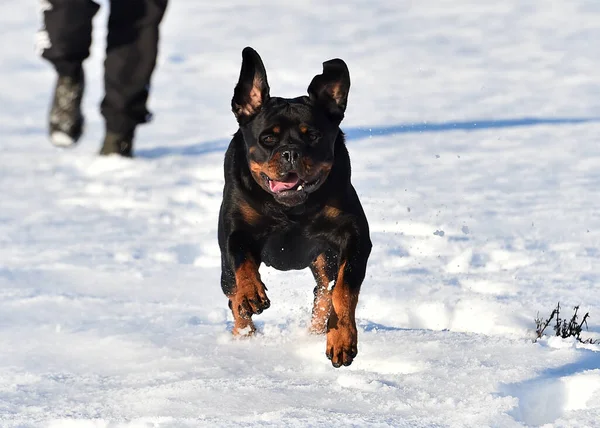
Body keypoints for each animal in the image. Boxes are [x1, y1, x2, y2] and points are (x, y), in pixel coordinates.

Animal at [218, 47, 372, 368]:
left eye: (313, 135)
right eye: (267, 138)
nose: (290, 152)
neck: (290, 211)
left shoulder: (354, 236)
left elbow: (343, 289)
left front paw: (342, 339)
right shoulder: (237, 229)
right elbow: (242, 262)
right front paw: (251, 293)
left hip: (324, 258)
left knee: (323, 290)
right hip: (225, 270)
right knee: (232, 293)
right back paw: (244, 335)